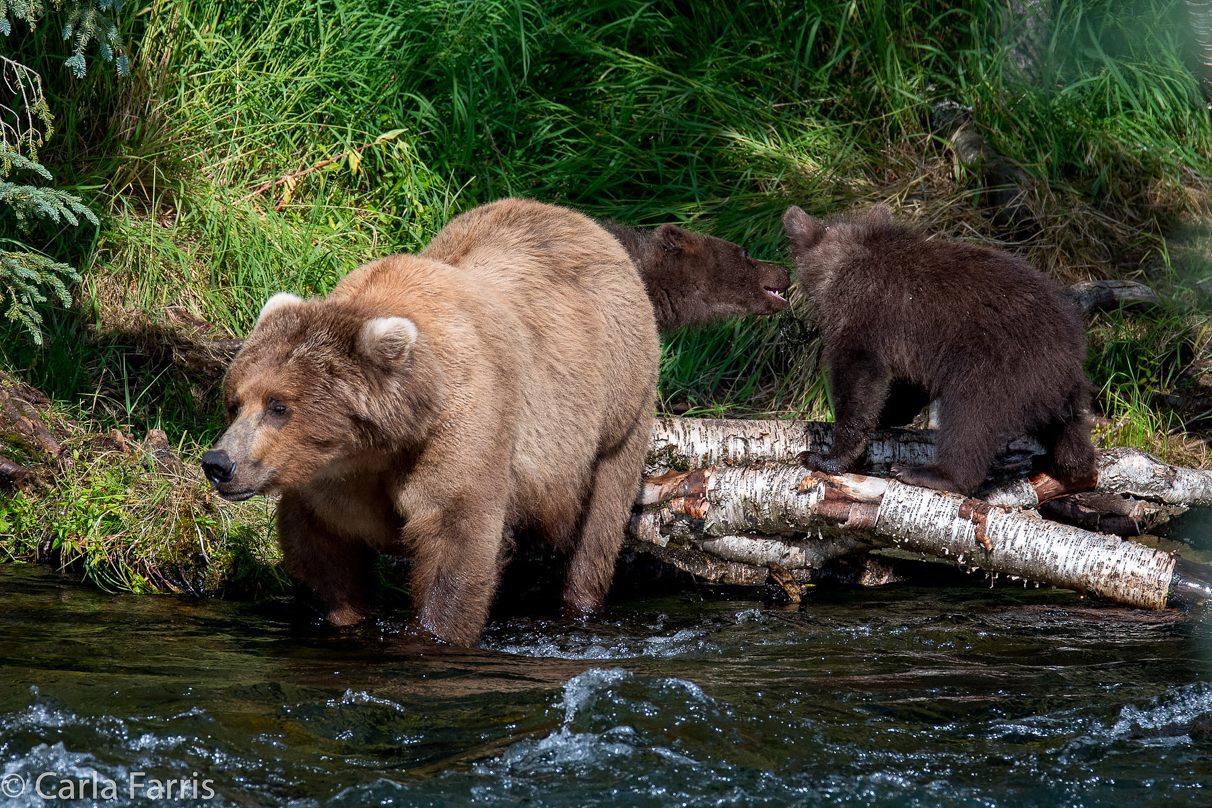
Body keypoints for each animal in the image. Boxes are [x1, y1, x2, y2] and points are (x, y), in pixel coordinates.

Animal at [206, 198, 664, 649]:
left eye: (278, 406)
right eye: (234, 402)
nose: (218, 463)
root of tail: (584, 222)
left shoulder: (459, 425)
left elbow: (456, 534)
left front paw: (434, 633)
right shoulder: (332, 475)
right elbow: (322, 547)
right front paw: (341, 617)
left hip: (617, 401)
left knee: (600, 521)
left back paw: (577, 604)